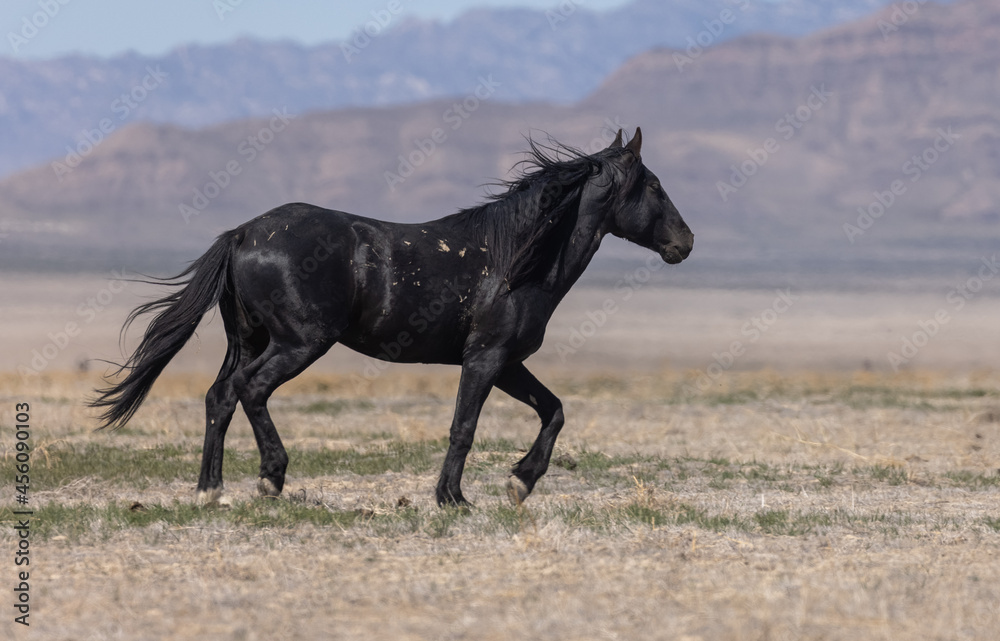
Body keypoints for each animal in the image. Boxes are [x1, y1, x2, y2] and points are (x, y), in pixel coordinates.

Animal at [91, 127, 694, 507]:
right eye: (655, 185)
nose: (685, 243)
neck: (513, 259)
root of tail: (242, 233)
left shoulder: (509, 363)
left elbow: (554, 411)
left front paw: (519, 484)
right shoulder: (485, 359)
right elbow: (464, 427)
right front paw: (454, 498)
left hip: (249, 338)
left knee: (219, 396)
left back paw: (209, 491)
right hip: (297, 344)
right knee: (250, 389)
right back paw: (270, 479)